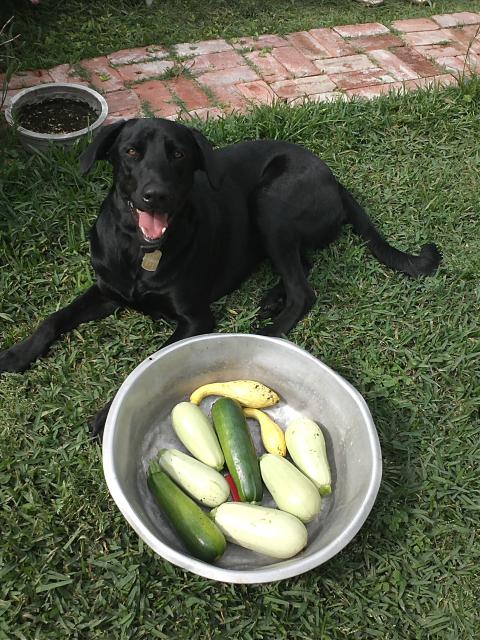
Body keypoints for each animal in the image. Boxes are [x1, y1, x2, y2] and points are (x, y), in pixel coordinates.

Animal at [0, 117, 440, 436]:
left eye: (178, 154)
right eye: (131, 151)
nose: (155, 195)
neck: (140, 250)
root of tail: (333, 178)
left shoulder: (196, 318)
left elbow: (145, 362)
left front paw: (107, 413)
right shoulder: (107, 291)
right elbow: (53, 318)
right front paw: (16, 354)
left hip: (269, 203)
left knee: (304, 291)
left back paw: (267, 330)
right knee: (304, 266)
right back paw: (272, 297)